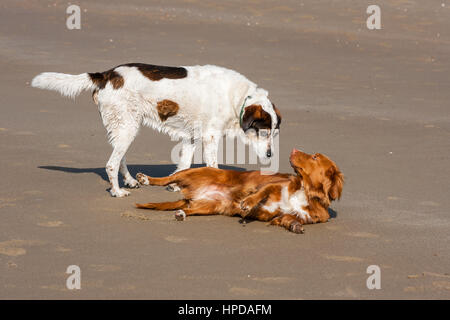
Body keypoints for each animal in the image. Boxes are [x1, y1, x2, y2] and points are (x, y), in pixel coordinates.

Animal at [31, 63, 280, 196]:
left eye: (275, 133)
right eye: (264, 132)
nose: (270, 155)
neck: (238, 98)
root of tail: (107, 74)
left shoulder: (192, 137)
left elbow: (184, 166)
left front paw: (177, 186)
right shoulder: (210, 137)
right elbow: (213, 167)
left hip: (125, 127)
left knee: (120, 158)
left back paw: (130, 181)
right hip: (127, 127)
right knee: (111, 163)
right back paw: (117, 191)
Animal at [135, 149, 342, 234]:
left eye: (314, 157)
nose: (293, 149)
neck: (306, 192)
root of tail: (191, 196)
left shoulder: (289, 215)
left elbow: (288, 219)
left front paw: (295, 227)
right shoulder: (275, 185)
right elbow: (260, 193)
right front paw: (247, 202)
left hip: (210, 206)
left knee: (188, 209)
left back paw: (181, 214)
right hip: (196, 171)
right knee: (168, 178)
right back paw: (145, 178)